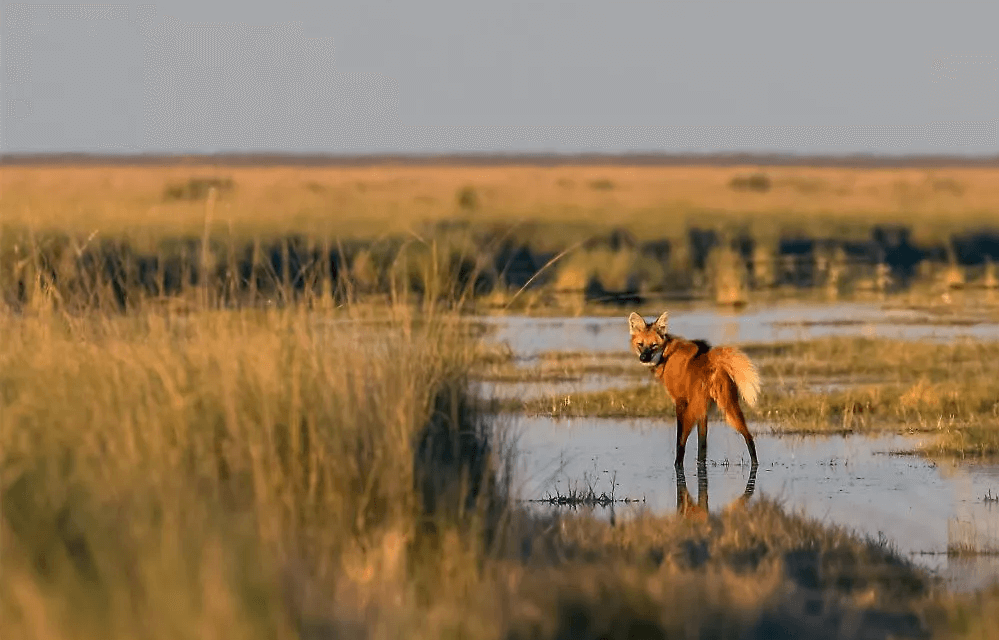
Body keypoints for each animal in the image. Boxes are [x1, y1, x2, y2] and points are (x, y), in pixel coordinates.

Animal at [628, 312, 760, 468]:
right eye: (640, 344)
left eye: (653, 345)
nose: (643, 358)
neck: (666, 355)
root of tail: (712, 359)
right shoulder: (703, 411)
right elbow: (702, 444)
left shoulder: (680, 402)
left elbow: (680, 440)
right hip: (727, 405)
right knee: (748, 437)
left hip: (697, 409)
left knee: (683, 441)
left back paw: (677, 464)